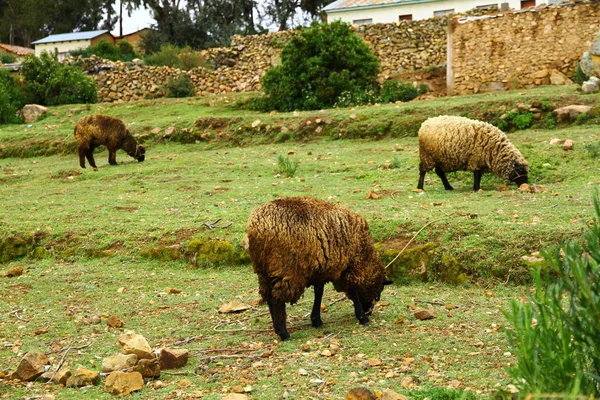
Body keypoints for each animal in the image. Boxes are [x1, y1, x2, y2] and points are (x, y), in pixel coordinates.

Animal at [246, 195, 392, 340]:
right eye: (377, 295)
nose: (369, 312)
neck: (365, 254)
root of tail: (257, 228)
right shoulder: (348, 266)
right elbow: (353, 290)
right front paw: (362, 318)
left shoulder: (321, 269)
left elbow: (319, 292)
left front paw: (316, 320)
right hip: (286, 269)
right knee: (276, 299)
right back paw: (283, 333)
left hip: (263, 272)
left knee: (269, 298)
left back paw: (278, 329)